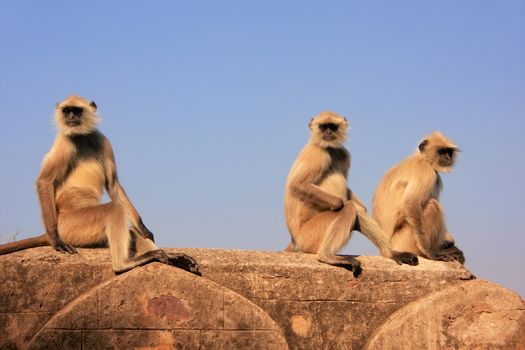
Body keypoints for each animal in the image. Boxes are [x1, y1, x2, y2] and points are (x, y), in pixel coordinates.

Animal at [0, 96, 199, 276]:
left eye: (76, 111)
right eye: (67, 110)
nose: (70, 116)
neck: (80, 137)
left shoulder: (103, 140)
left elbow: (113, 184)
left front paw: (145, 229)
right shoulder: (64, 142)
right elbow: (45, 181)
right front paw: (56, 241)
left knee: (130, 230)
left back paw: (166, 255)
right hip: (71, 226)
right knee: (114, 209)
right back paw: (123, 264)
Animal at [284, 112, 416, 276]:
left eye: (333, 127)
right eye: (323, 127)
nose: (328, 132)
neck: (330, 149)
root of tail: (295, 240)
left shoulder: (343, 154)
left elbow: (358, 205)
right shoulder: (319, 154)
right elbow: (297, 185)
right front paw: (339, 203)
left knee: (357, 209)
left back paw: (391, 253)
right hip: (309, 236)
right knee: (348, 207)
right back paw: (326, 256)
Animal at [370, 131, 464, 262]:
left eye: (448, 152)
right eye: (441, 151)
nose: (448, 158)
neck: (422, 158)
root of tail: (385, 251)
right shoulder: (426, 171)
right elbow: (411, 204)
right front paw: (430, 252)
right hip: (405, 242)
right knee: (432, 206)